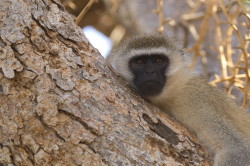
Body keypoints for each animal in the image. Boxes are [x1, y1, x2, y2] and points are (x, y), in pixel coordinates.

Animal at [108, 34, 250, 166]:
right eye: (139, 62)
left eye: (159, 60)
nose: (150, 71)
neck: (173, 91)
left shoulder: (196, 101)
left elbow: (236, 149)